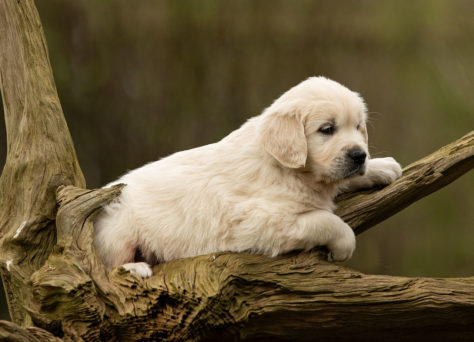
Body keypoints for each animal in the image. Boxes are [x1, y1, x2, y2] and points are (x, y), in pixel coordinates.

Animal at [94, 77, 402, 278]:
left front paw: (382, 167)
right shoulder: (263, 222)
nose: (359, 155)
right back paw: (134, 267)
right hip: (118, 226)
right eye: (327, 129)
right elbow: (325, 220)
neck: (288, 169)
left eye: (358, 127)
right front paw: (344, 244)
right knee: (108, 264)